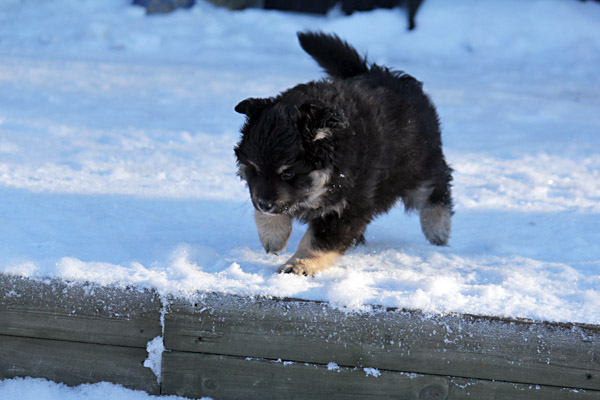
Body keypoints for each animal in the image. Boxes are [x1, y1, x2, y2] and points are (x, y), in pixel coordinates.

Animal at [234, 31, 453, 276]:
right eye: (254, 169)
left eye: (288, 173)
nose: (265, 204)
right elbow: (268, 206)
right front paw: (273, 236)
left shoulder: (348, 206)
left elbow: (318, 241)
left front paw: (298, 265)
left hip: (418, 166)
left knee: (436, 189)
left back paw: (438, 230)